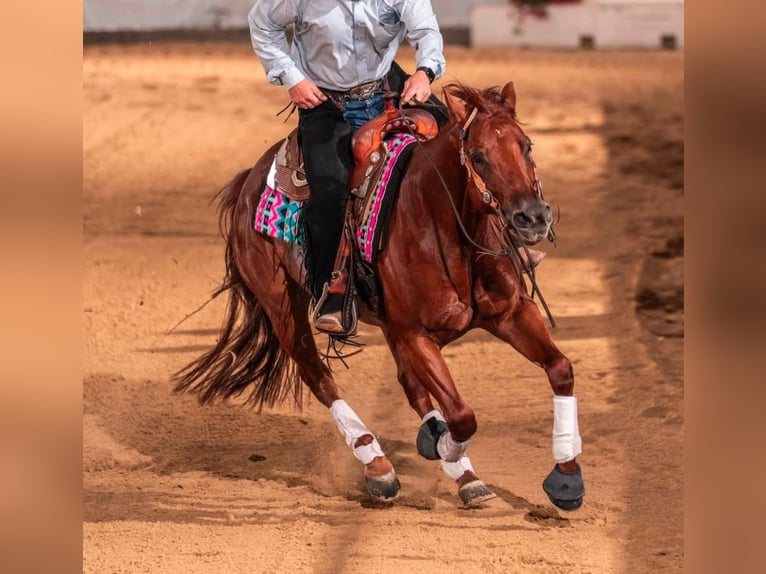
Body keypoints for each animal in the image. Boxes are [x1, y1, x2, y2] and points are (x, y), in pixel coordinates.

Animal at [173, 81, 585, 510]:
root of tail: (248, 182)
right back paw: (379, 466)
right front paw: (446, 452)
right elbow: (461, 415)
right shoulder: (415, 333)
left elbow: (560, 368)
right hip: (282, 307)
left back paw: (455, 468)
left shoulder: (510, 313)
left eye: (527, 146)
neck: (443, 227)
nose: (532, 217)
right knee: (319, 376)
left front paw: (566, 479)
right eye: (478, 156)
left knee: (408, 383)